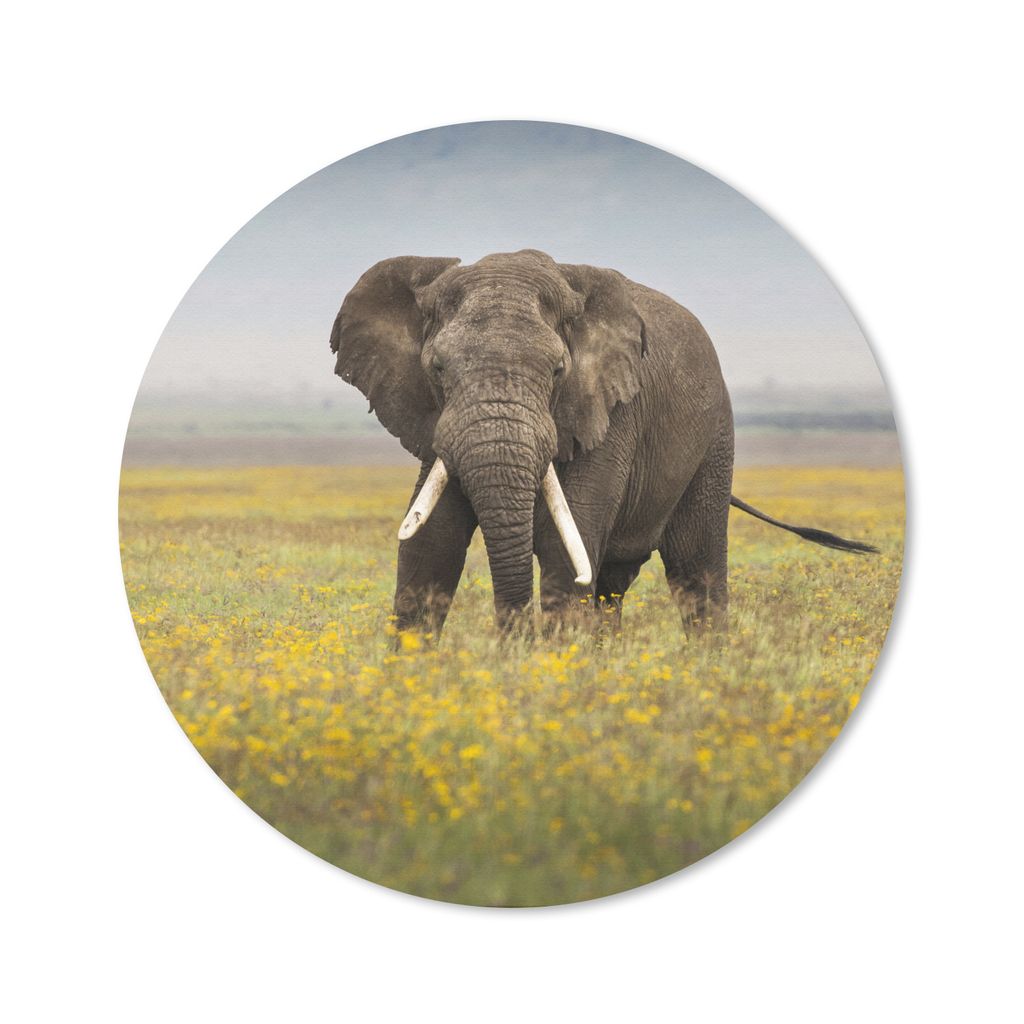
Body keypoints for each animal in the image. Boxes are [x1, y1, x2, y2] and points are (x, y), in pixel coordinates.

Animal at [330, 249, 875, 637]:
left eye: (557, 371)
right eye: (437, 368)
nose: (512, 646)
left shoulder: (612, 414)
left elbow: (564, 550)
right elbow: (430, 545)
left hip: (714, 439)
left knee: (695, 572)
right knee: (612, 585)